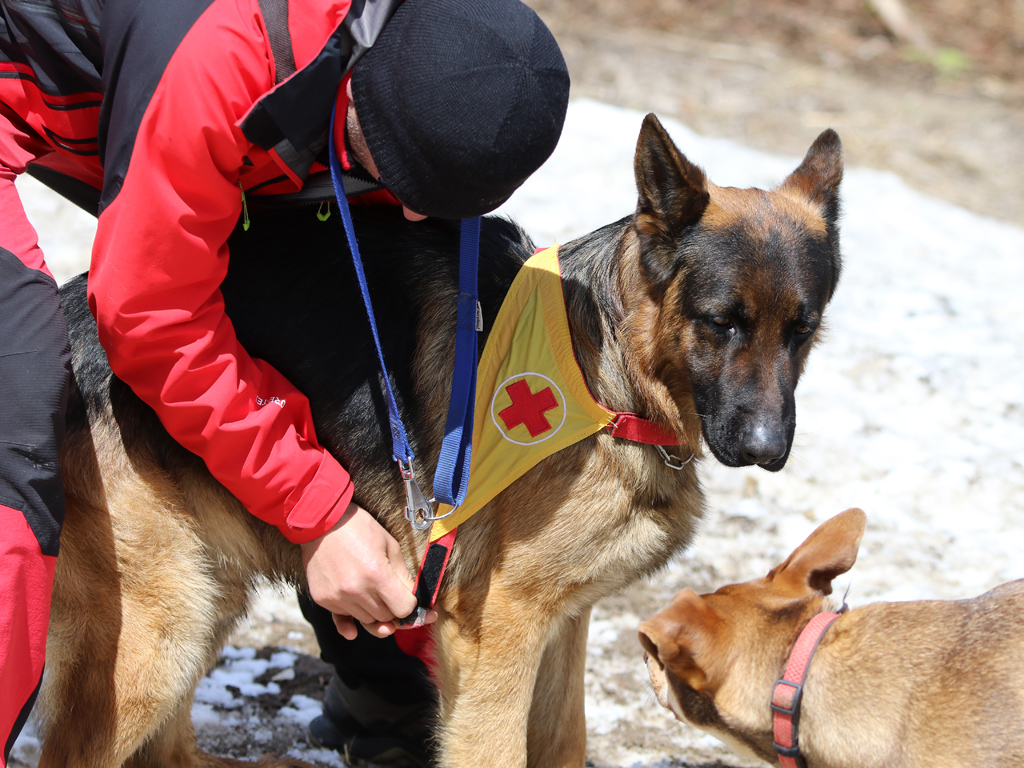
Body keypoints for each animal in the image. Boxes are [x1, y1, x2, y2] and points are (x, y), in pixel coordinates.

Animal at [37, 115, 839, 768]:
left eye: (803, 330)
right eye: (721, 322)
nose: (767, 447)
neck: (608, 376)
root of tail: (69, 325)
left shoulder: (565, 619)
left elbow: (563, 742)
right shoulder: (496, 633)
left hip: (204, 593)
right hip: (161, 625)